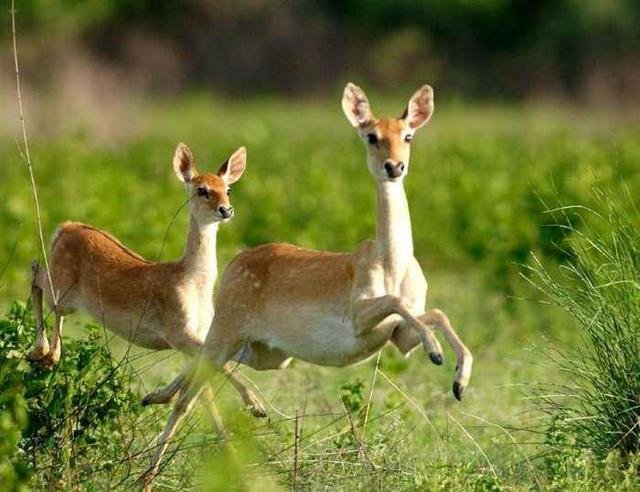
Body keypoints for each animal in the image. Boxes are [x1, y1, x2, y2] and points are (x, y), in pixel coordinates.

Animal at [27, 142, 266, 417]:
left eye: (228, 189)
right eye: (202, 190)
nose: (226, 210)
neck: (193, 282)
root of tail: (64, 228)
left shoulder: (199, 333)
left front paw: (155, 397)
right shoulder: (177, 331)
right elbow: (217, 368)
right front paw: (257, 405)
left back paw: (44, 357)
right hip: (62, 288)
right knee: (37, 274)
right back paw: (43, 353)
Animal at [141, 83, 473, 489]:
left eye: (408, 134)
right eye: (371, 135)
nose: (394, 166)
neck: (391, 263)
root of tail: (236, 263)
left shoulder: (399, 336)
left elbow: (434, 314)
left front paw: (458, 380)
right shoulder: (361, 317)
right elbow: (399, 303)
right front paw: (439, 354)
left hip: (265, 352)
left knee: (200, 366)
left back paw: (160, 399)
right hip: (228, 334)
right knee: (188, 397)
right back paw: (148, 473)